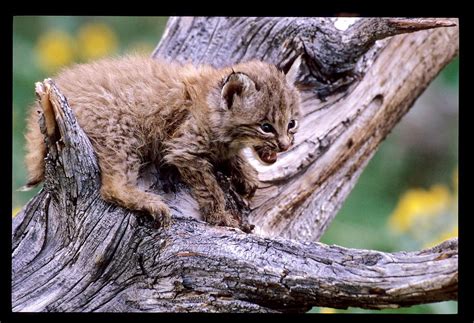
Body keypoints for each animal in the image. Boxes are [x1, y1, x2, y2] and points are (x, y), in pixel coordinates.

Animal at [25, 56, 300, 230]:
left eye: (292, 124)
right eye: (266, 127)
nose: (285, 146)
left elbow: (229, 157)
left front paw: (247, 176)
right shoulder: (183, 149)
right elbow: (210, 188)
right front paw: (220, 217)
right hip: (122, 130)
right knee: (111, 187)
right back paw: (150, 204)